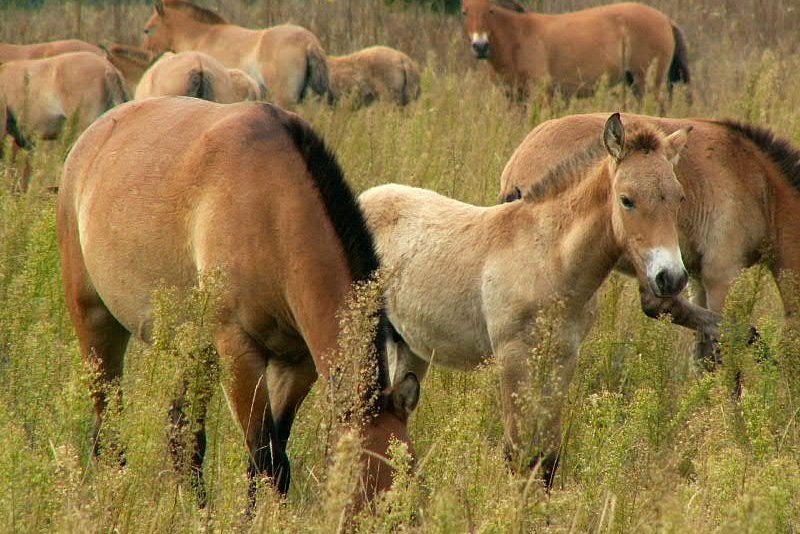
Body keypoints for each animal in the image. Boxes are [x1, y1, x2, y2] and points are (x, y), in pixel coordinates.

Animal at [56, 97, 418, 506]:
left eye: (413, 480)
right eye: (373, 491)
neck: (273, 209)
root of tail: (91, 137)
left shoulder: (296, 364)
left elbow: (269, 460)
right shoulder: (239, 352)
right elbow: (267, 461)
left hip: (196, 349)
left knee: (181, 436)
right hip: (96, 322)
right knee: (109, 428)